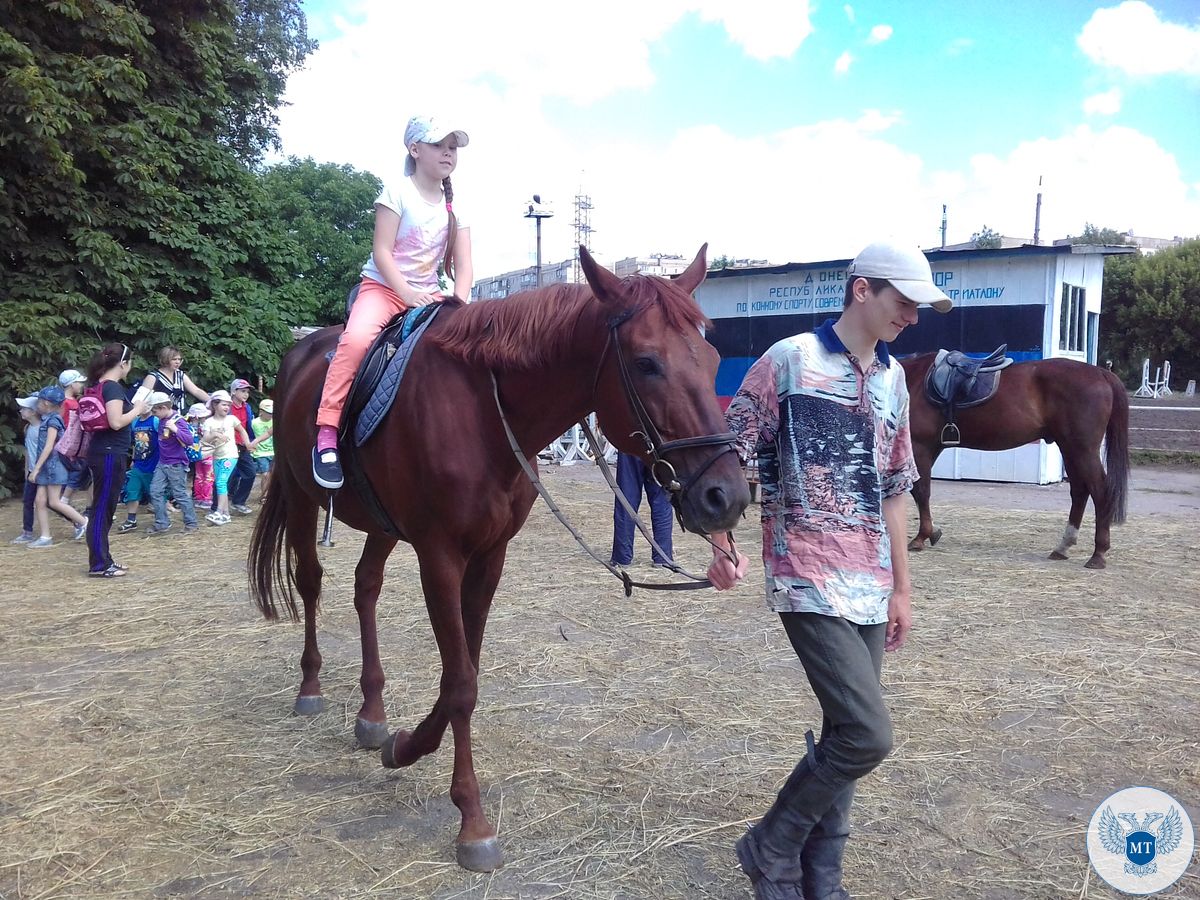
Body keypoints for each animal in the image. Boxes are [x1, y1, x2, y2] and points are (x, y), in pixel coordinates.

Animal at [244, 247, 748, 873]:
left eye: (712, 357)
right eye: (647, 363)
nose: (728, 496)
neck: (483, 409)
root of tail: (302, 351)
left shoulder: (490, 556)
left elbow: (466, 671)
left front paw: (405, 745)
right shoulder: (439, 555)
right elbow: (461, 683)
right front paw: (473, 821)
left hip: (382, 523)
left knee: (365, 588)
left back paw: (373, 712)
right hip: (300, 496)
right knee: (311, 582)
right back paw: (311, 686)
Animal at [902, 355, 1128, 571]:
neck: (911, 380)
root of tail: (1101, 373)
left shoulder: (919, 447)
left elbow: (921, 491)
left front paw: (921, 537)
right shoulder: (931, 448)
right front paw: (933, 532)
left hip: (1083, 450)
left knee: (1100, 492)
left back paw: (1098, 554)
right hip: (1070, 448)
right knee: (1080, 492)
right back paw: (1063, 547)